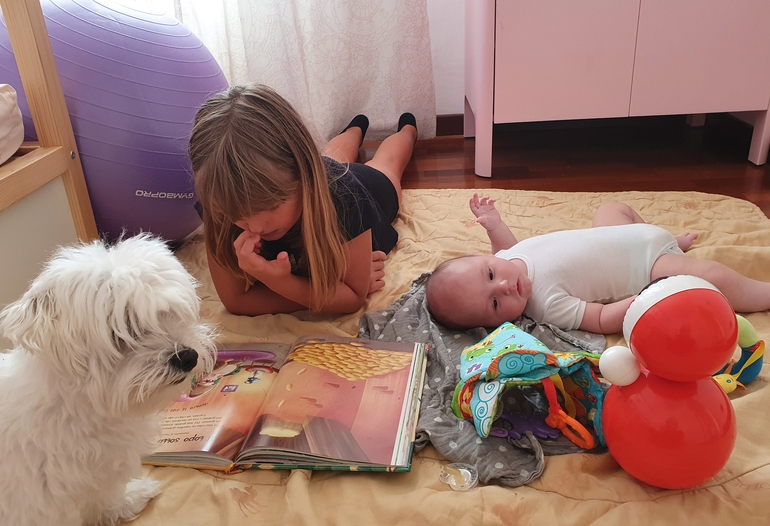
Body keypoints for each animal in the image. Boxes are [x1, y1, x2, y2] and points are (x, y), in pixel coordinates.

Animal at [0, 234, 216, 526]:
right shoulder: (30, 503)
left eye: (167, 313)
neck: (81, 408)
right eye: (123, 331)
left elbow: (101, 495)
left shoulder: (100, 470)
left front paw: (122, 503)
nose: (187, 356)